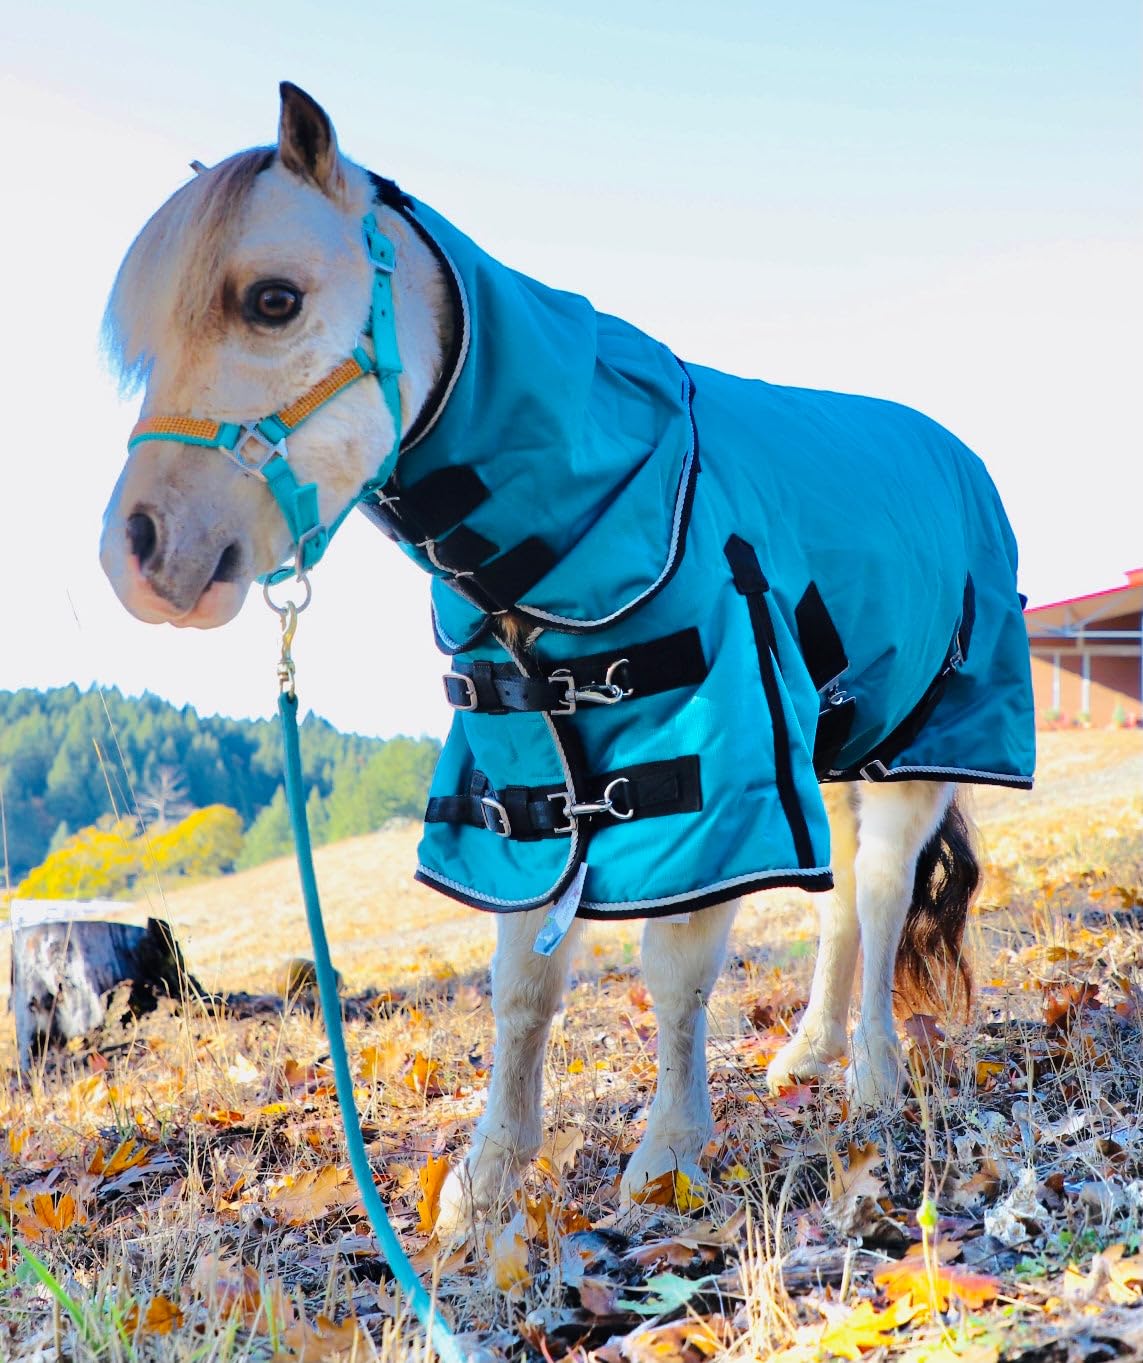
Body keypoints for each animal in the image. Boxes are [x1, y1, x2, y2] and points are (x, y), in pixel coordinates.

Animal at [100, 83, 1034, 1238]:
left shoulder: (710, 769)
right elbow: (522, 987)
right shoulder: (523, 783)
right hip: (825, 748)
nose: (139, 554)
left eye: (272, 299)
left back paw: (871, 1075)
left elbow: (674, 969)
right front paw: (485, 1183)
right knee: (842, 901)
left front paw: (666, 1158)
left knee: (880, 891)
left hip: (914, 749)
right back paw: (810, 1052)